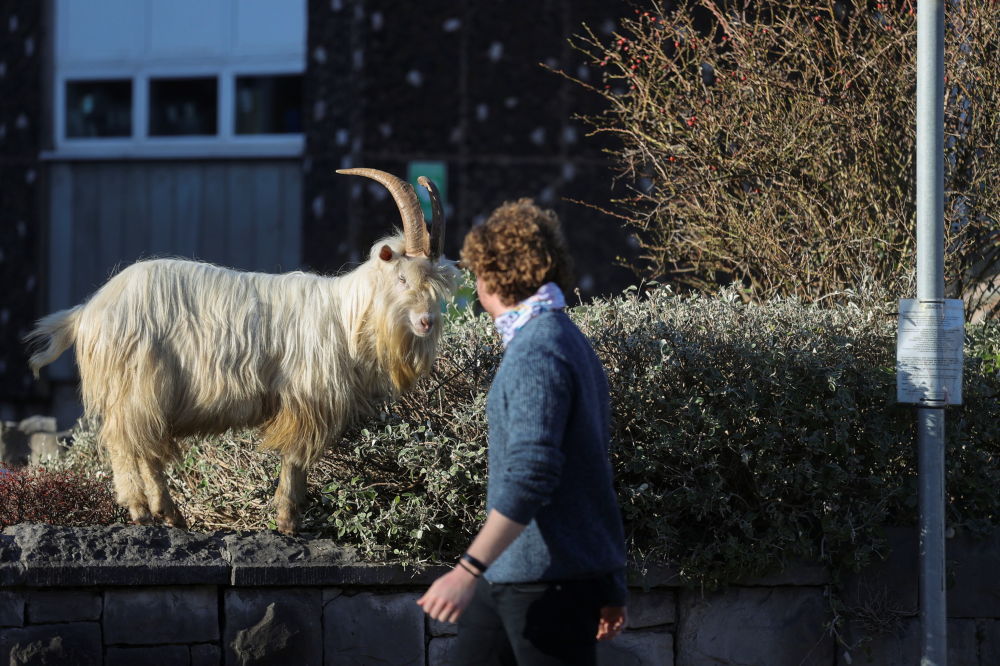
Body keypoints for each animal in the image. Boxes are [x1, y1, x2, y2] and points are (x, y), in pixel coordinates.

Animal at [25, 169, 458, 532]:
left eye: (436, 284)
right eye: (401, 278)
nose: (426, 322)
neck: (344, 317)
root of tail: (88, 310)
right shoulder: (305, 399)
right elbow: (295, 460)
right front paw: (287, 521)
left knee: (145, 446)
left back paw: (169, 514)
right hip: (138, 380)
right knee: (124, 440)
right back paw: (141, 509)